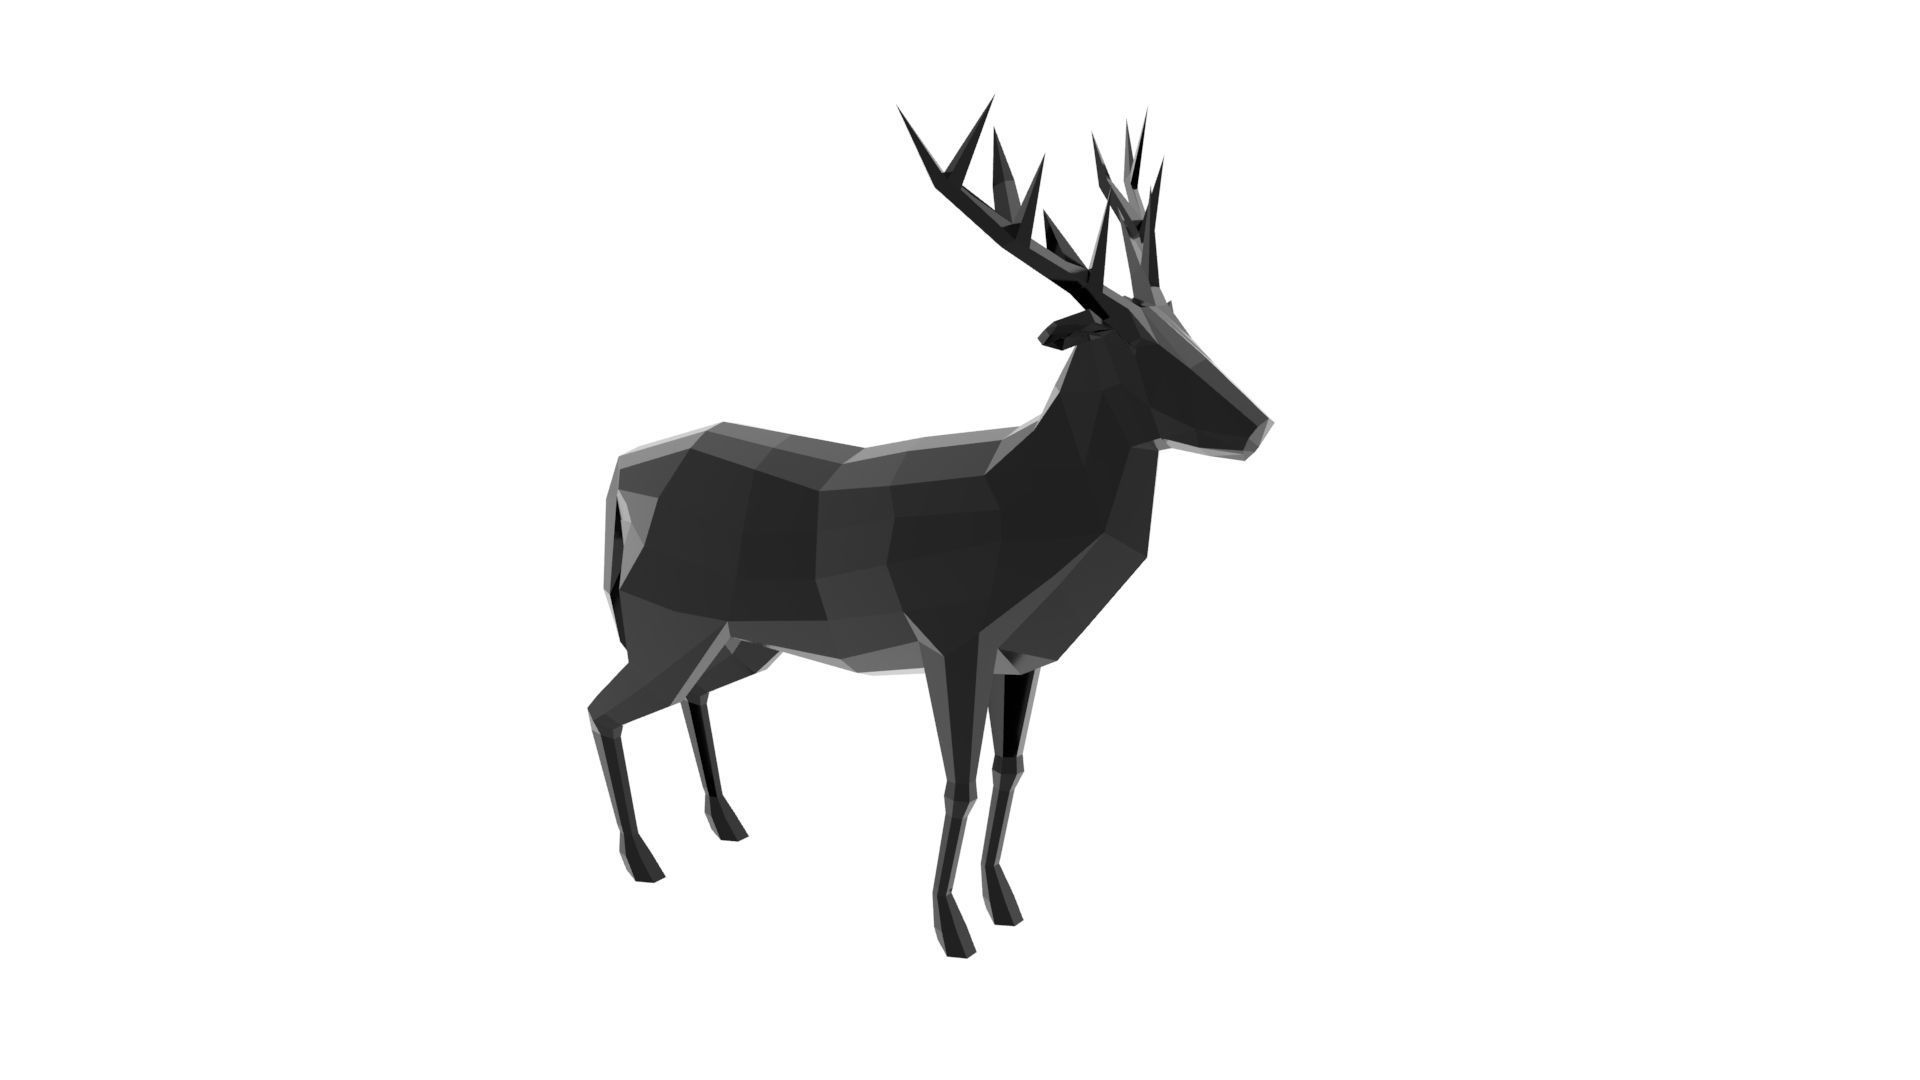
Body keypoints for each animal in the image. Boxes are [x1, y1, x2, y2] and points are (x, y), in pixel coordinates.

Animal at [588, 102, 1270, 957]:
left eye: (1180, 321)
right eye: (1127, 337)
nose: (1258, 425)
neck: (1032, 512)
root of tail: (618, 478)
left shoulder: (1022, 655)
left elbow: (1012, 770)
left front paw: (1004, 902)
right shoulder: (952, 634)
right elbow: (959, 780)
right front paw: (950, 927)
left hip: (737, 639)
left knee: (688, 699)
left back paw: (726, 822)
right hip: (665, 622)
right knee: (603, 708)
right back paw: (642, 859)